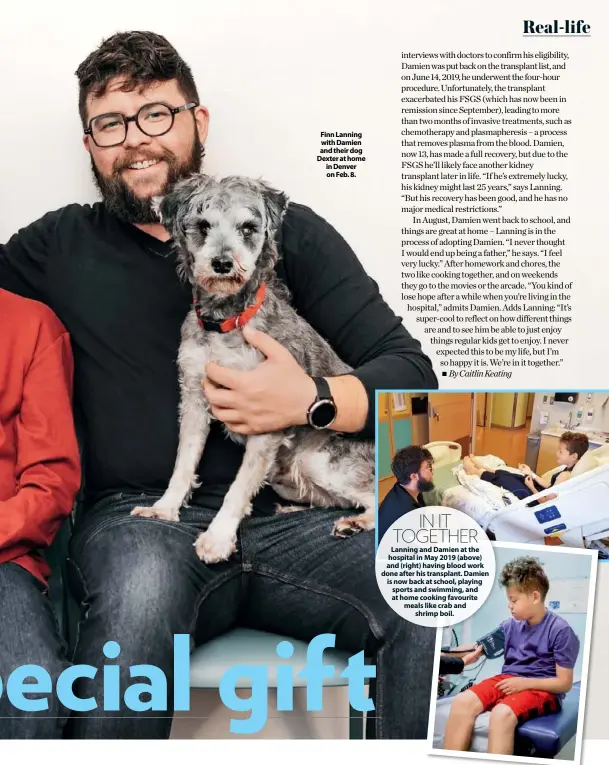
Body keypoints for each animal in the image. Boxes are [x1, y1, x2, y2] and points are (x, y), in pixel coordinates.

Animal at [131, 176, 372, 564]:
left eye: (248, 227)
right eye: (203, 226)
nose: (222, 263)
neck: (225, 320)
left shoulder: (267, 417)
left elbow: (239, 486)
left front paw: (217, 539)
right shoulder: (194, 399)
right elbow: (183, 464)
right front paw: (164, 508)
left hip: (320, 460)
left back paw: (356, 522)